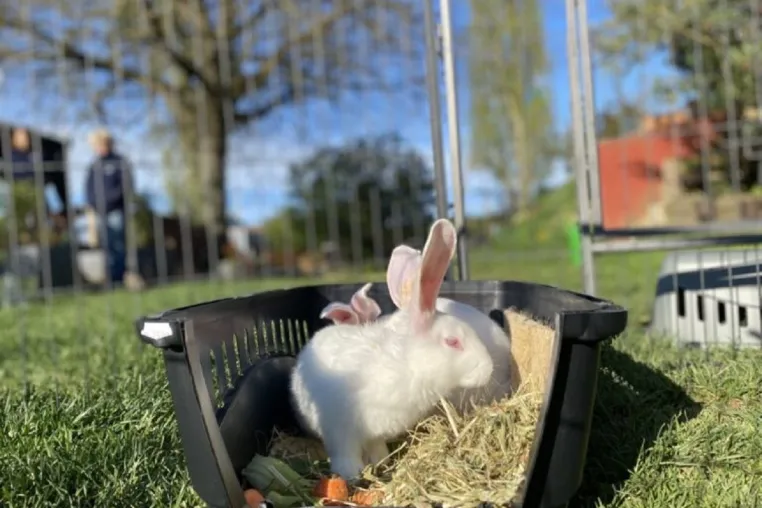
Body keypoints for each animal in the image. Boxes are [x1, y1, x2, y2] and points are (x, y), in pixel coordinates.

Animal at [290, 219, 495, 479]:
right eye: (453, 342)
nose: (488, 370)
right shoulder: (339, 428)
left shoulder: (374, 433)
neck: (407, 364)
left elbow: (376, 447)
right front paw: (351, 475)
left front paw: (382, 463)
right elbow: (344, 453)